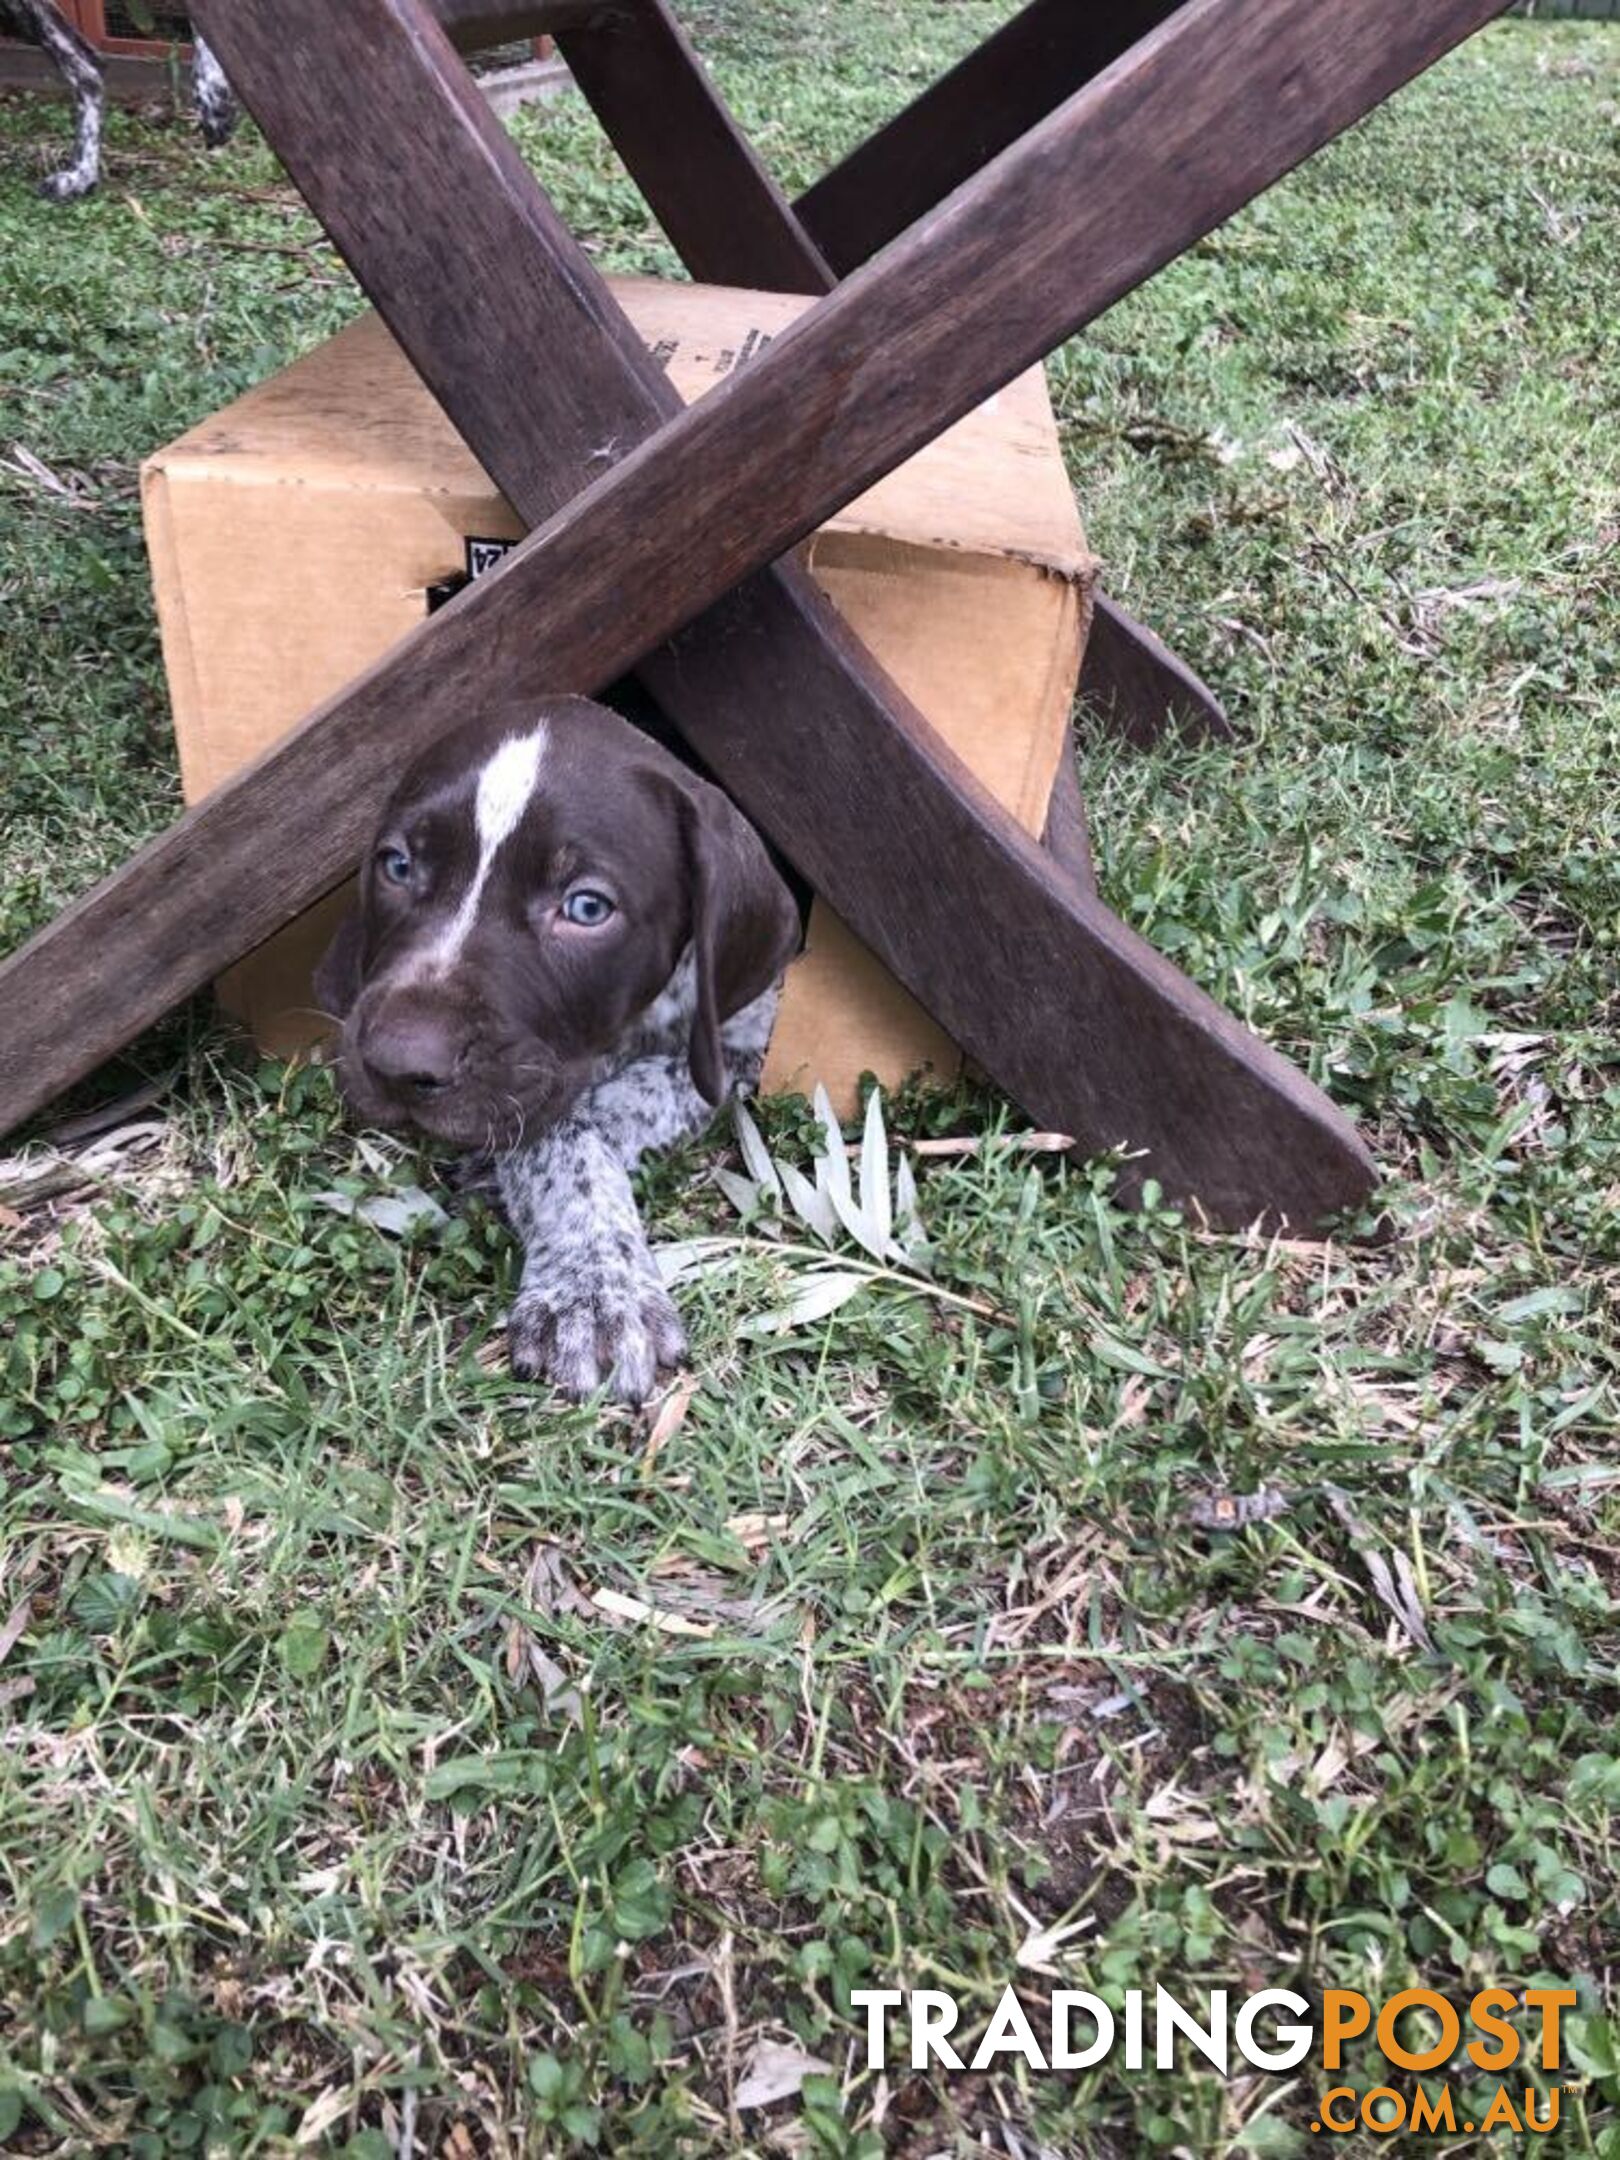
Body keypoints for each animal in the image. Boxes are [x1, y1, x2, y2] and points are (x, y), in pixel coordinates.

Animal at [313, 691, 803, 1399]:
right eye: (398, 865)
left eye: (587, 908)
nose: (399, 1065)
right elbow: (556, 1128)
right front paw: (588, 1281)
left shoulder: (740, 1043)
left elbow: (592, 1113)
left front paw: (596, 1285)